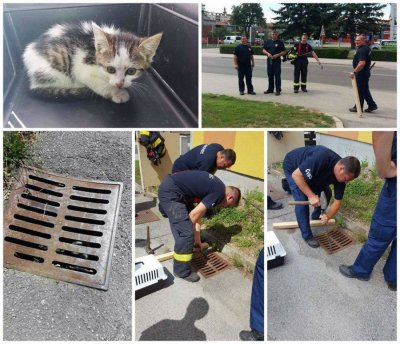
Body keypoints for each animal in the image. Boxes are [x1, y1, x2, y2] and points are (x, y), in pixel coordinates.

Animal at [22, 21, 163, 103]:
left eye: (131, 71)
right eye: (110, 69)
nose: (119, 84)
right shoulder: (82, 69)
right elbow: (98, 84)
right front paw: (117, 93)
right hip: (56, 71)